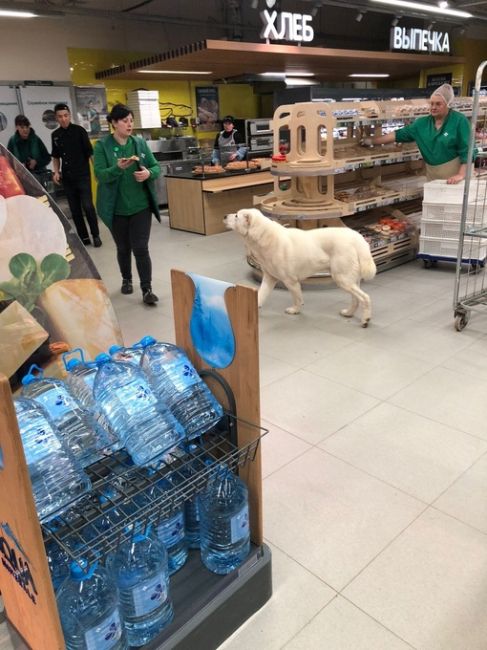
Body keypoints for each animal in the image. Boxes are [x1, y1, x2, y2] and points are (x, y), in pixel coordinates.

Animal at [225, 208, 378, 326]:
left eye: (237, 215)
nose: (225, 216)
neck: (264, 236)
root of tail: (357, 237)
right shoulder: (269, 278)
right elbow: (260, 295)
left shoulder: (290, 281)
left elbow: (297, 298)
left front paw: (295, 311)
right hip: (350, 279)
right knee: (356, 299)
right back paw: (348, 313)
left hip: (342, 278)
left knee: (365, 298)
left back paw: (365, 320)